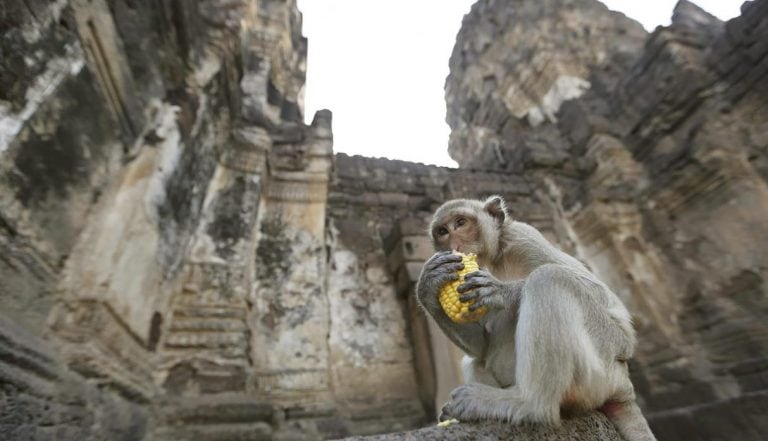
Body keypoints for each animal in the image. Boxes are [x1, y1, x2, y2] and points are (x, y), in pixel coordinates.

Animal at [416, 195, 656, 440]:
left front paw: (503, 291)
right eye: (442, 231)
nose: (454, 245)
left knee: (550, 278)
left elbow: (602, 296)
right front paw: (429, 284)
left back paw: (526, 403)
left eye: (461, 223)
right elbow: (481, 346)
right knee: (476, 361)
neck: (494, 259)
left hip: (603, 362)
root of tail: (624, 387)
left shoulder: (523, 237)